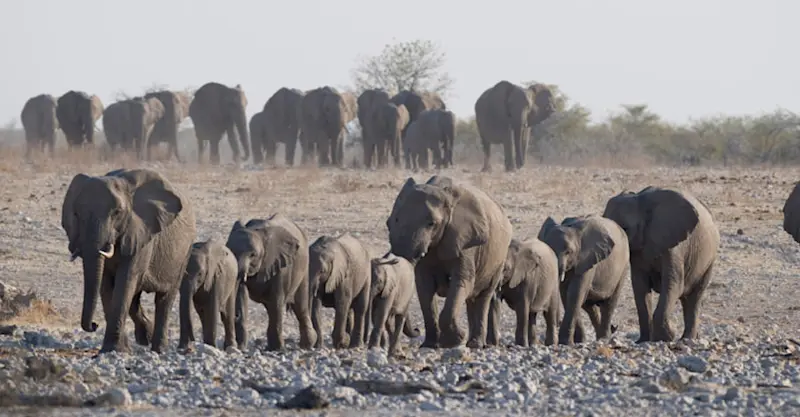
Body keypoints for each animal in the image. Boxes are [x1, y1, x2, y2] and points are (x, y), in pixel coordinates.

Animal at [61, 168, 196, 354]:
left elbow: (126, 280)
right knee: (135, 299)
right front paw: (117, 349)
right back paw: (145, 337)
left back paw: (158, 348)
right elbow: (106, 284)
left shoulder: (141, 232)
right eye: (76, 214)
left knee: (164, 299)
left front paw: (115, 349)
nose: (94, 325)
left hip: (184, 252)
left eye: (117, 213)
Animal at [225, 214, 315, 351]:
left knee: (300, 306)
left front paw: (277, 349)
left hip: (303, 268)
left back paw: (307, 346)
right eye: (230, 251)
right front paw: (240, 348)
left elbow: (276, 301)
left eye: (253, 255)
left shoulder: (280, 264)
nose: (235, 316)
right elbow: (241, 295)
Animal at [386, 175, 513, 349]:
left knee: (484, 297)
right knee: (472, 299)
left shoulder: (466, 241)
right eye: (393, 220)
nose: (417, 330)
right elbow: (424, 287)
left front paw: (455, 340)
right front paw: (430, 345)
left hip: (498, 259)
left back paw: (476, 344)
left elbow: (461, 281)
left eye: (431, 224)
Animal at [538, 215, 629, 345]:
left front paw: (565, 342)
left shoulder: (587, 259)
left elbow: (574, 293)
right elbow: (566, 294)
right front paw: (578, 341)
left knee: (609, 304)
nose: (557, 322)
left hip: (623, 267)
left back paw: (604, 338)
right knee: (589, 305)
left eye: (568, 252)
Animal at [602, 186, 720, 342]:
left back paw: (687, 339)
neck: (641, 203)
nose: (614, 326)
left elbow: (672, 284)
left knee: (695, 297)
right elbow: (640, 287)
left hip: (709, 260)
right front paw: (643, 341)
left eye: (625, 229)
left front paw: (666, 337)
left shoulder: (673, 244)